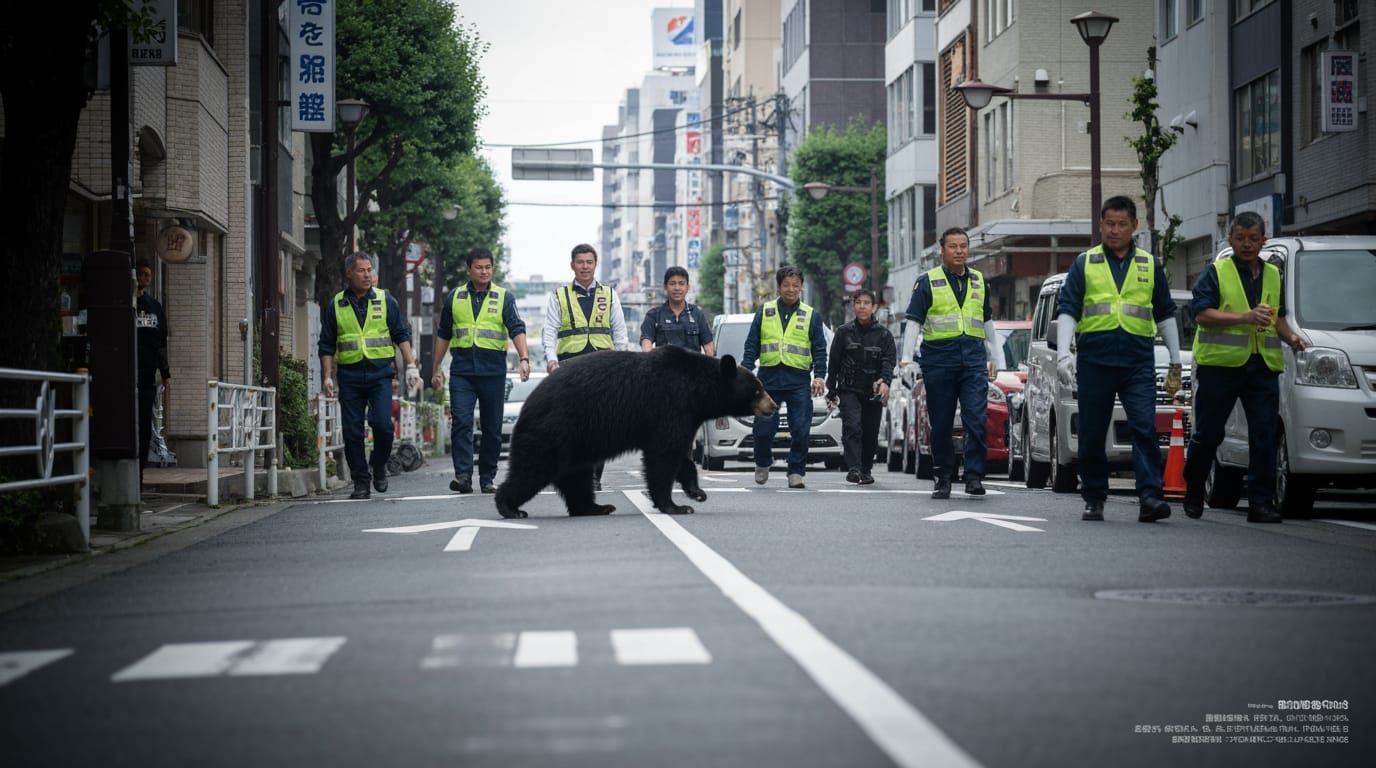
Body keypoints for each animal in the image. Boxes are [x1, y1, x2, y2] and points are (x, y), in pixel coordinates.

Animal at [495, 346, 776, 518]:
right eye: (757, 389)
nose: (773, 406)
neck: (695, 390)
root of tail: (528, 404)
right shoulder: (669, 406)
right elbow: (662, 457)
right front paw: (675, 506)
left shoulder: (685, 416)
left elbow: (680, 455)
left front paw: (696, 492)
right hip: (555, 429)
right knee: (535, 468)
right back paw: (509, 507)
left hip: (577, 442)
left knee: (575, 476)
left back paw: (596, 507)